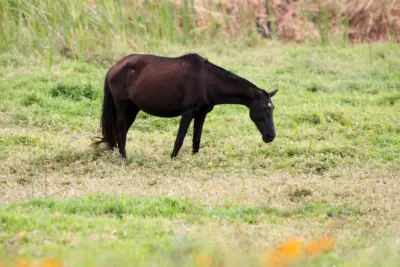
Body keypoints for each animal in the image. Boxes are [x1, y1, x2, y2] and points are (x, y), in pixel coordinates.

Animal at [95, 53, 278, 160]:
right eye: (263, 108)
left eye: (272, 108)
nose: (270, 136)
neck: (206, 81)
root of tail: (113, 69)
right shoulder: (188, 113)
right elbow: (180, 138)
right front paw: (172, 159)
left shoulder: (201, 114)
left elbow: (196, 138)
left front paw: (194, 158)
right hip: (123, 107)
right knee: (120, 131)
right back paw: (124, 158)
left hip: (133, 109)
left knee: (121, 132)